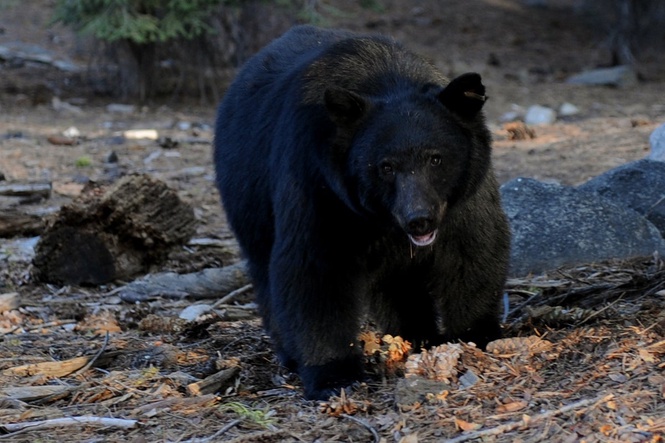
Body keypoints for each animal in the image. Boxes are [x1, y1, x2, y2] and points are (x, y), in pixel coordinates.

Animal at [213, 25, 511, 400]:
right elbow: (315, 269)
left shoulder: (463, 197)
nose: (419, 219)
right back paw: (290, 354)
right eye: (385, 166)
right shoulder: (319, 185)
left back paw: (415, 334)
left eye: (436, 158)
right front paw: (334, 375)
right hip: (248, 197)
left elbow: (472, 250)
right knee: (265, 271)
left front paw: (476, 335)